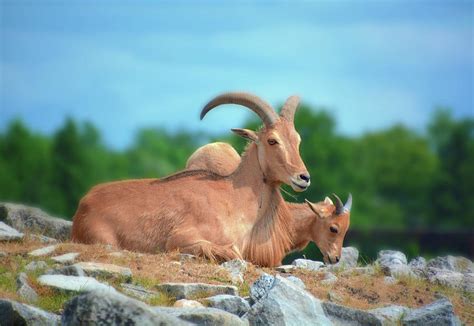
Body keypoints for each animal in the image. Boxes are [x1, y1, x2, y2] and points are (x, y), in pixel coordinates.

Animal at [69, 91, 308, 264]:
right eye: (272, 140)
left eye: (297, 139)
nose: (303, 177)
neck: (234, 199)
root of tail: (84, 203)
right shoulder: (182, 238)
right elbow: (229, 251)